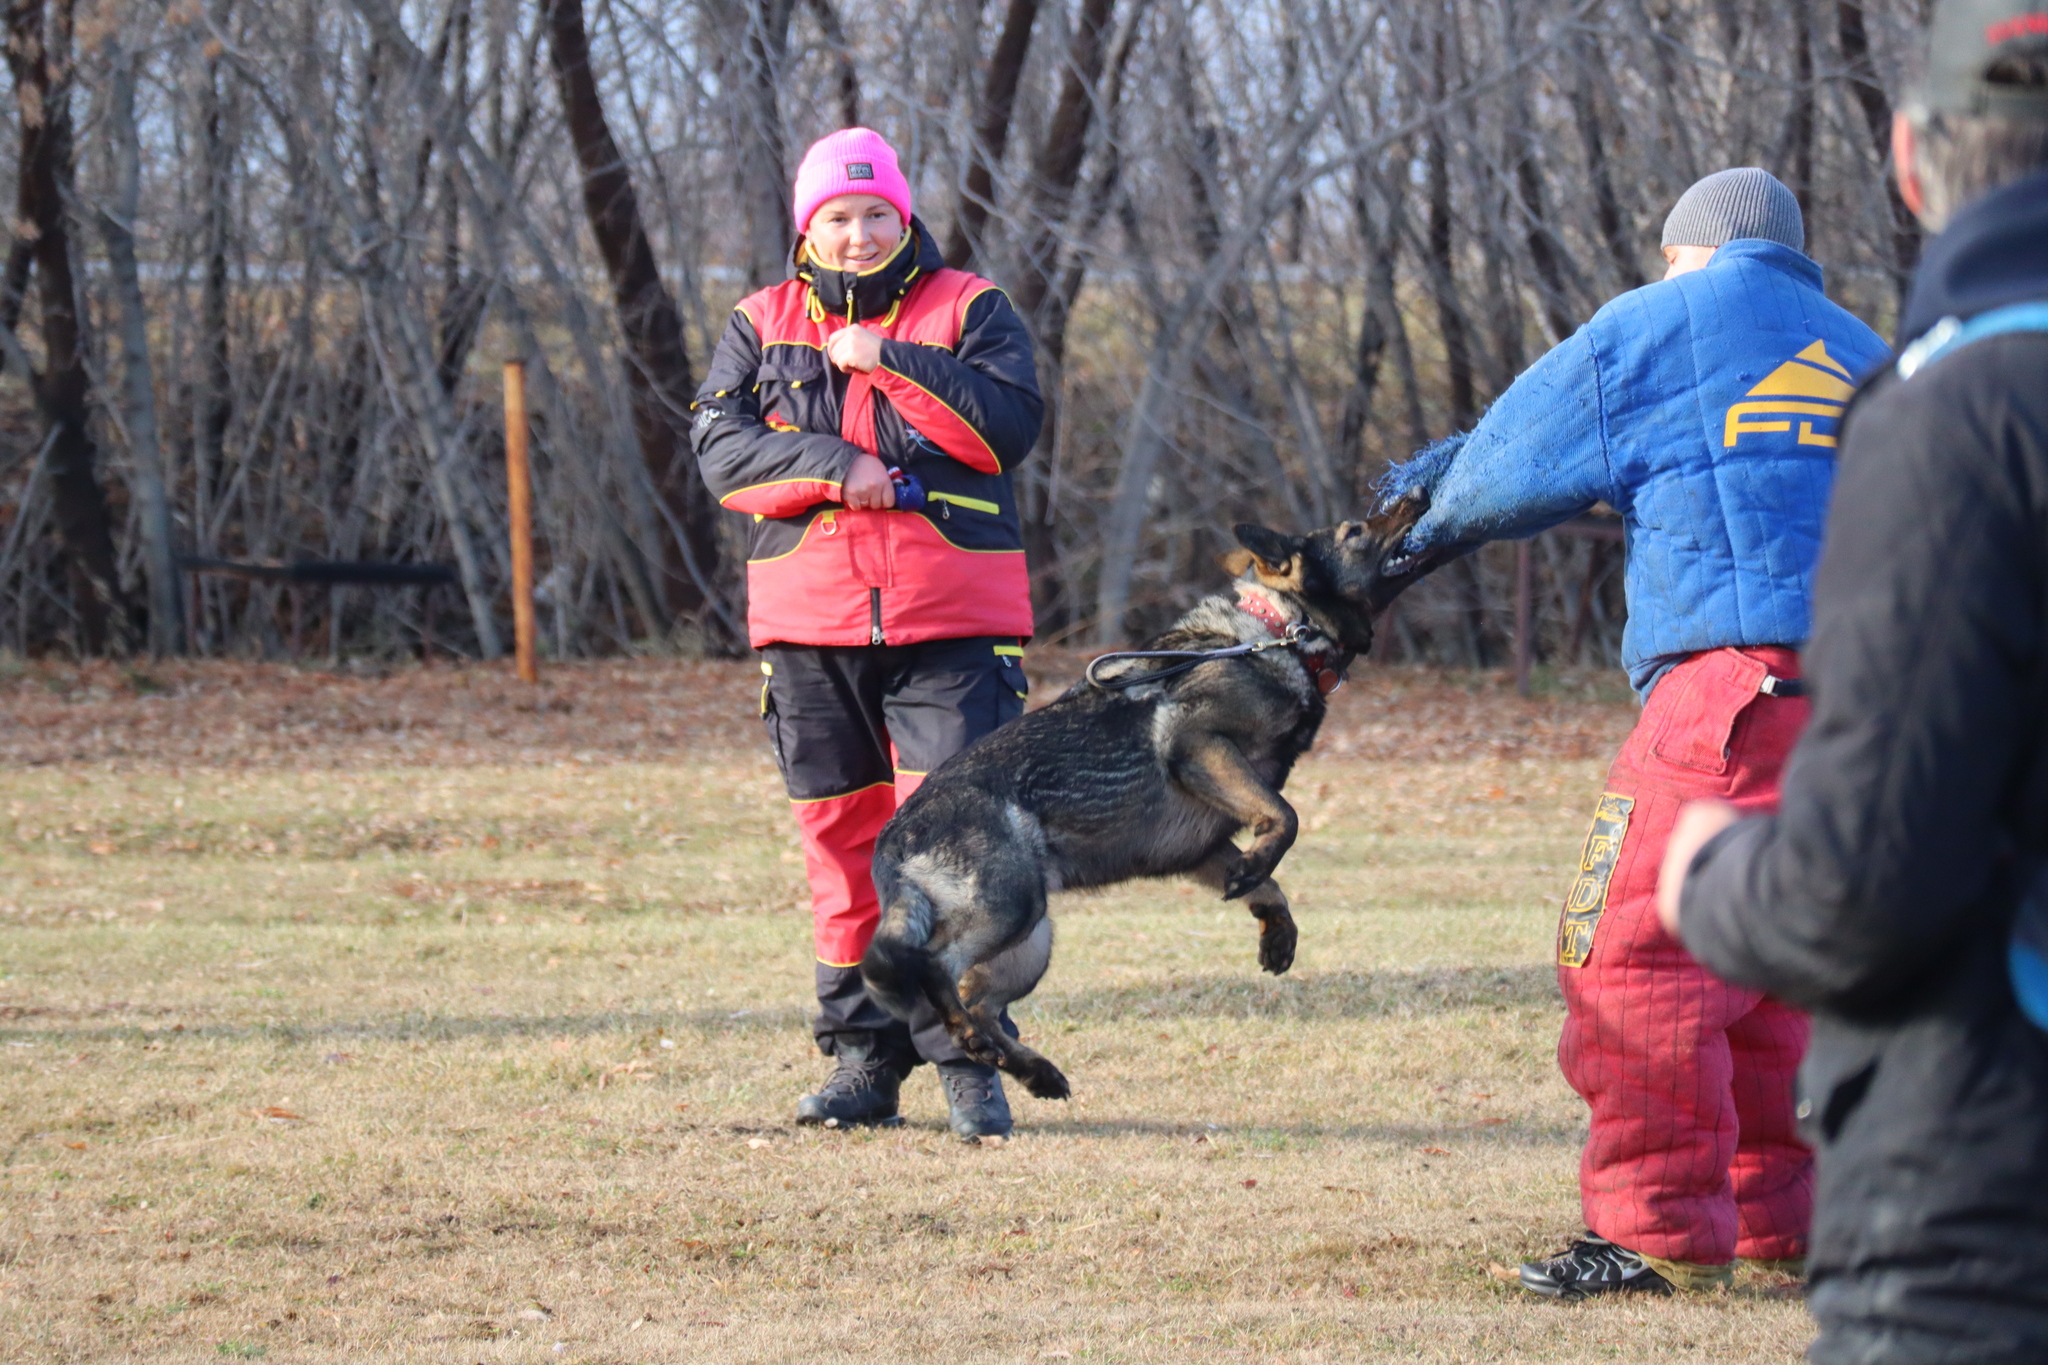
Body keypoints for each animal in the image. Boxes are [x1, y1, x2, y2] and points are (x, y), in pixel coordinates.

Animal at [864, 489, 1441, 1096]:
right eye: (1356, 531)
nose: (1417, 495)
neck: (1281, 631)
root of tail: (893, 838)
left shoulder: (1202, 845)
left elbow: (1271, 884)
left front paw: (1273, 924)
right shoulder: (1196, 744)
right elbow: (1287, 817)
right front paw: (1258, 867)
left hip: (1031, 941)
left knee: (977, 1001)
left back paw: (1030, 1069)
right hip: (1011, 908)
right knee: (936, 967)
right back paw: (982, 1042)